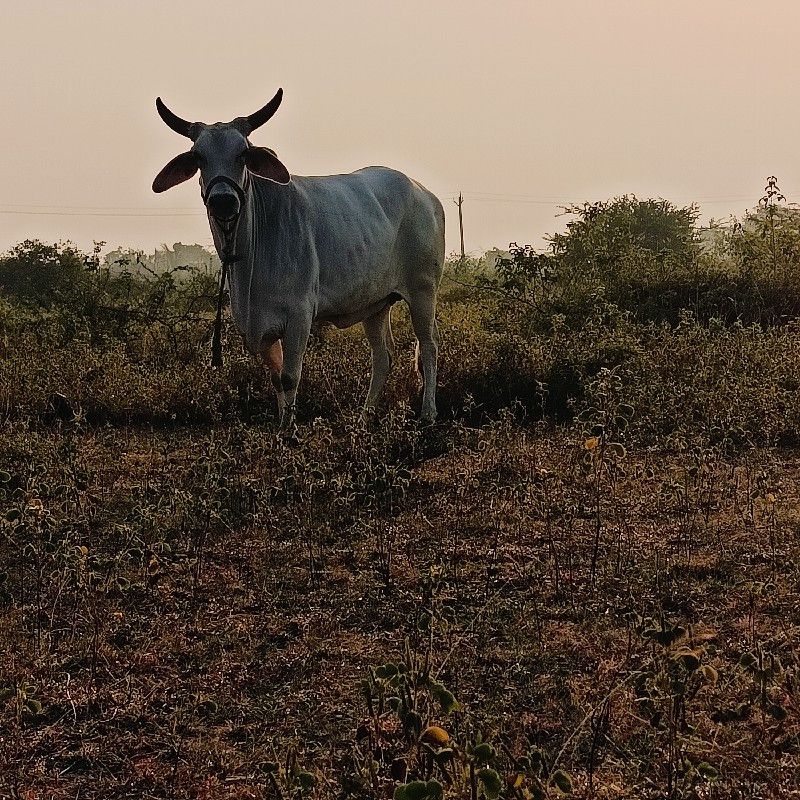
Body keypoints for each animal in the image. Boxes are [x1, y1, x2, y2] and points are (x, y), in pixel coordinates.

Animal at [152, 90, 444, 434]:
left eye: (244, 154)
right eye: (198, 157)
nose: (223, 201)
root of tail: (425, 194)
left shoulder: (299, 316)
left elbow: (291, 377)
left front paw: (290, 431)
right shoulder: (260, 327)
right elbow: (277, 379)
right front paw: (281, 429)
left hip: (423, 291)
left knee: (428, 347)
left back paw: (428, 414)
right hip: (375, 304)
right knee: (383, 357)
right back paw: (364, 418)